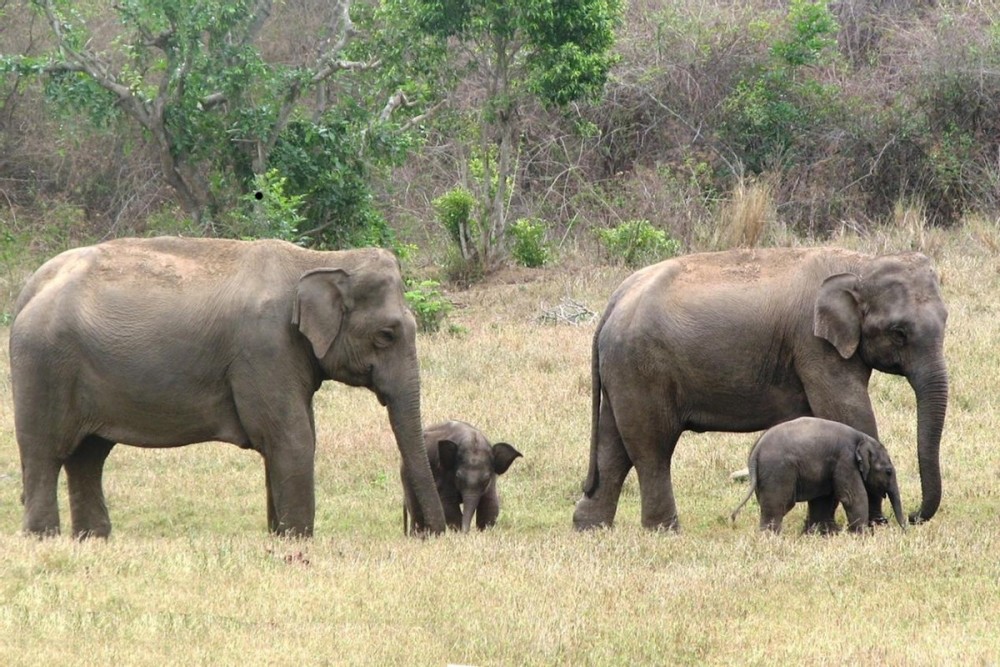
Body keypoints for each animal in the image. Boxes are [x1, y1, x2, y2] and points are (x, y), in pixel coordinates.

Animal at [8, 237, 446, 540]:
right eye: (387, 335)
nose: (431, 533)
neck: (317, 259)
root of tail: (29, 289)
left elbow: (290, 438)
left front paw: (279, 536)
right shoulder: (264, 349)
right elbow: (293, 438)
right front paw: (298, 540)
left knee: (88, 456)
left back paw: (93, 540)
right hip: (43, 366)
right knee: (46, 453)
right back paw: (44, 539)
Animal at [728, 420, 908, 536]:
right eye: (888, 471)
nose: (906, 530)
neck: (862, 438)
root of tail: (756, 451)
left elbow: (823, 498)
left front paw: (823, 534)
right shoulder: (845, 460)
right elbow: (852, 497)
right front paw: (863, 536)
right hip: (778, 472)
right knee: (777, 505)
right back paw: (771, 539)